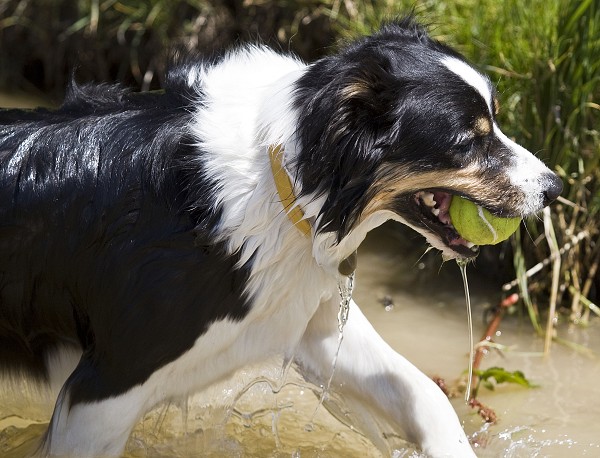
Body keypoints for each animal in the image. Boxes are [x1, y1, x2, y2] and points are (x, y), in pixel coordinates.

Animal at [0, 17, 564, 458]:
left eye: (495, 121)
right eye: (469, 140)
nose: (554, 188)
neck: (284, 183)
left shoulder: (305, 317)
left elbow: (421, 392)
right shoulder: (105, 388)